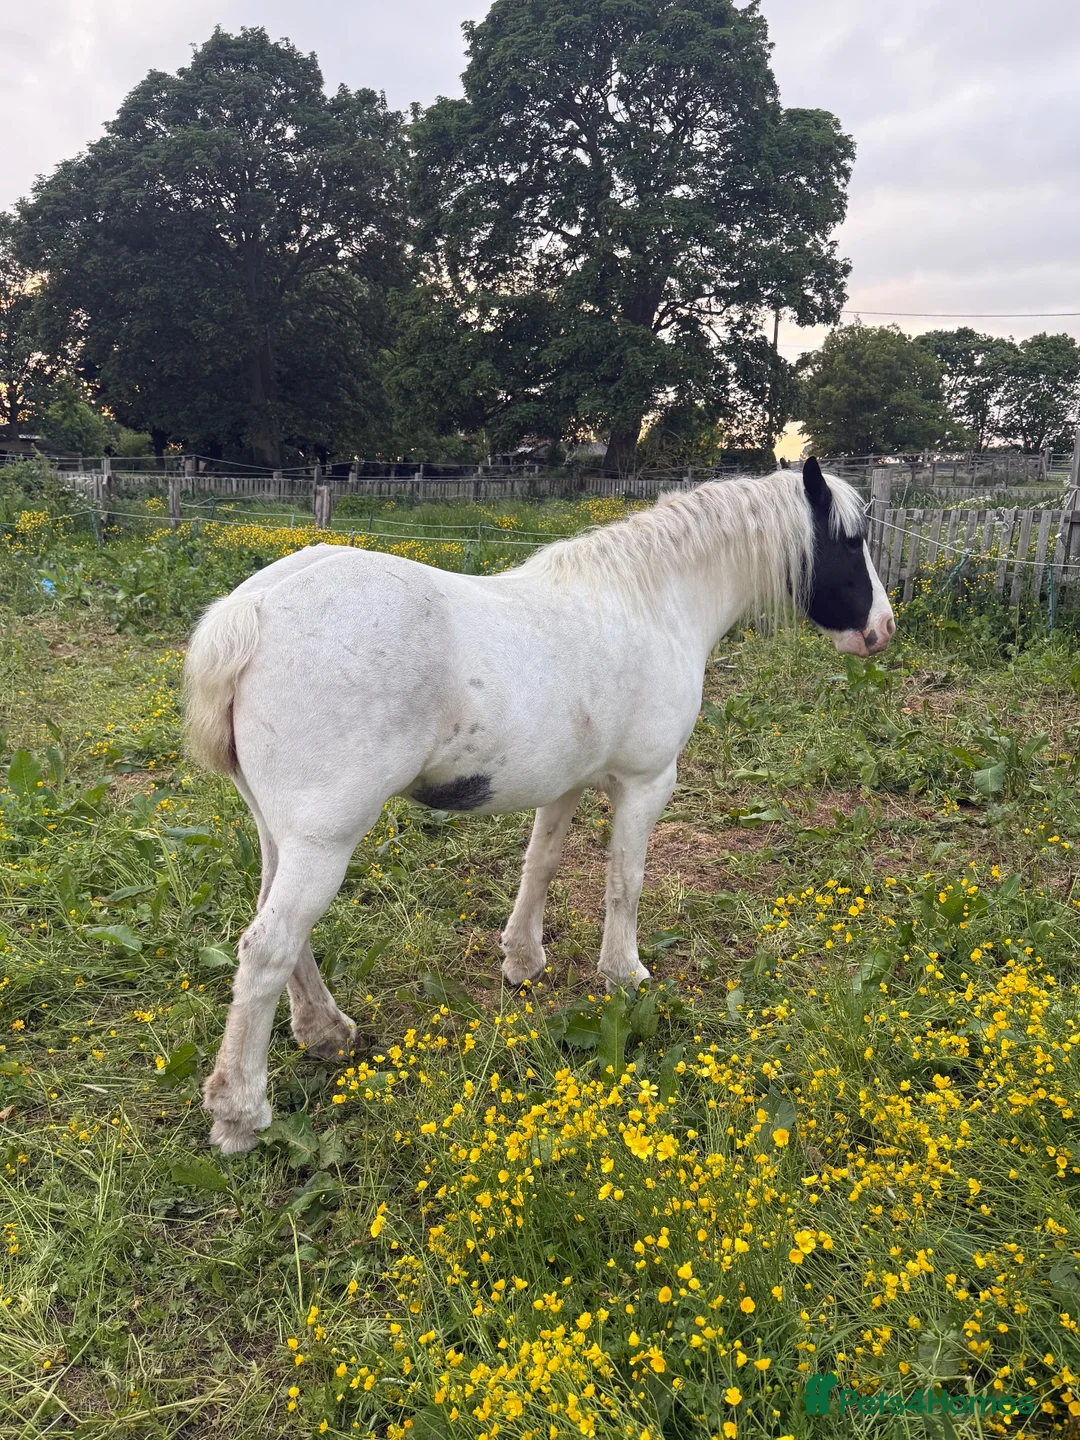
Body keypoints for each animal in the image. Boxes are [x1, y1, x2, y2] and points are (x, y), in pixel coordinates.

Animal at [185, 457, 894, 1153]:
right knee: (268, 948)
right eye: (850, 540)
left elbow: (541, 866)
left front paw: (522, 961)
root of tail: (255, 607)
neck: (651, 602)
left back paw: (326, 1033)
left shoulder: (566, 785)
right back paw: (240, 1113)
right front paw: (623, 975)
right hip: (325, 840)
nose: (881, 629)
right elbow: (624, 882)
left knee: (280, 931)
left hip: (281, 833)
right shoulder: (646, 783)